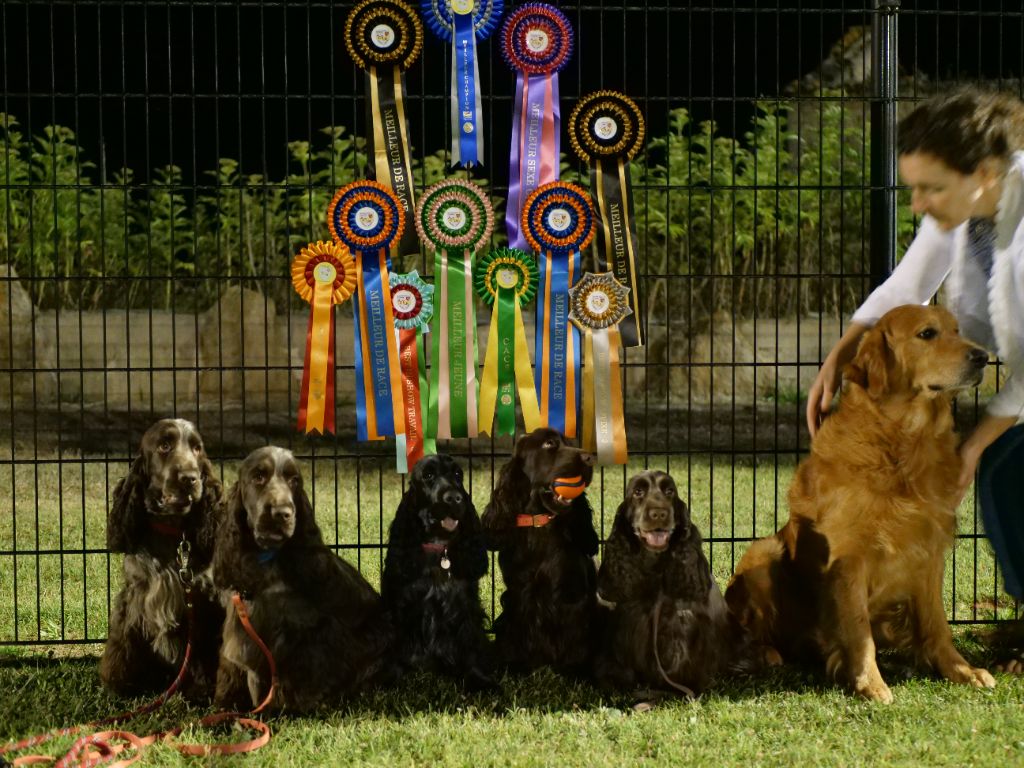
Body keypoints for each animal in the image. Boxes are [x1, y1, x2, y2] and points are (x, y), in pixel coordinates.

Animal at [100, 418, 224, 698]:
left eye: (197, 448)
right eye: (164, 445)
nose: (190, 478)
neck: (171, 530)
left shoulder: (203, 602)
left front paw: (200, 688)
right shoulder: (134, 597)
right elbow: (124, 643)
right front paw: (120, 682)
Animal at [381, 454, 495, 690]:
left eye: (458, 474)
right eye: (428, 476)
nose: (455, 499)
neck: (438, 546)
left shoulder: (464, 606)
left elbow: (470, 644)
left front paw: (479, 679)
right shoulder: (401, 605)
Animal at [481, 427, 601, 676]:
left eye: (569, 443)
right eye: (549, 444)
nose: (589, 458)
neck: (540, 523)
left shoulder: (573, 595)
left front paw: (575, 669)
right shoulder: (518, 594)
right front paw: (513, 664)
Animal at [725, 304, 996, 702]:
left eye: (956, 330)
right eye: (927, 334)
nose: (982, 357)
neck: (901, 441)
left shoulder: (929, 550)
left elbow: (937, 624)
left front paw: (961, 670)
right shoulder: (849, 556)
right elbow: (857, 627)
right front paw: (870, 682)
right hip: (762, 553)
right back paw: (767, 653)